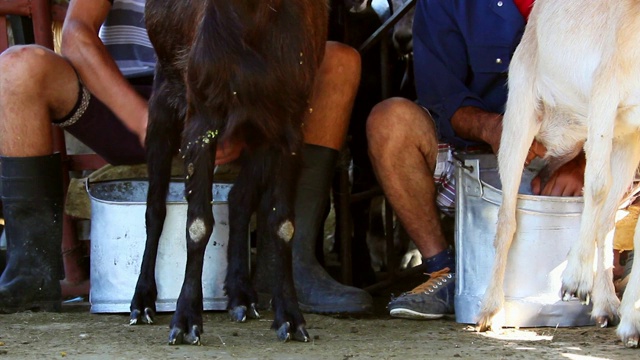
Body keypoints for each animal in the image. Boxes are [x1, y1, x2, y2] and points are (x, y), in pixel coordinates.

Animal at [130, 0, 330, 344]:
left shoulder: (289, 125)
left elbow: (283, 225)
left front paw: (290, 318)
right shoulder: (202, 118)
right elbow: (197, 225)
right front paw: (186, 319)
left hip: (258, 133)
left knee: (239, 198)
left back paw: (241, 295)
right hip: (163, 101)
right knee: (154, 209)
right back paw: (142, 302)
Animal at [478, 0, 640, 348]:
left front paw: (632, 324)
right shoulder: (604, 90)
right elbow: (595, 185)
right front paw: (575, 280)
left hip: (624, 139)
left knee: (607, 221)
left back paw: (607, 305)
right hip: (521, 111)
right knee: (506, 220)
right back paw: (490, 311)